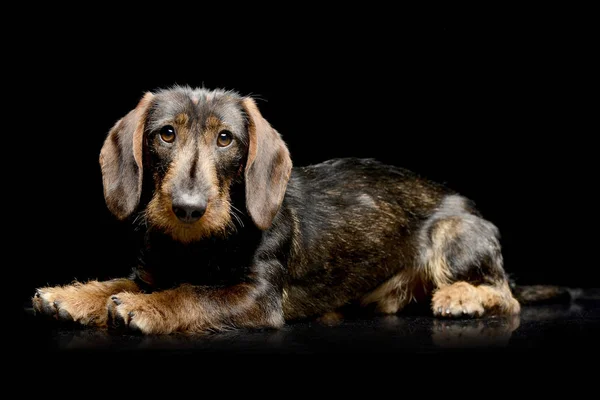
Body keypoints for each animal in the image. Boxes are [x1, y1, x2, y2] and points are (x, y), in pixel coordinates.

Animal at [31, 85, 520, 334]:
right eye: (166, 133)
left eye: (225, 138)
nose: (187, 208)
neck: (197, 245)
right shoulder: (150, 273)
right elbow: (119, 281)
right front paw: (72, 296)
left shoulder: (256, 297)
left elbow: (193, 294)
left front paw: (144, 308)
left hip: (453, 233)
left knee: (508, 297)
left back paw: (461, 296)